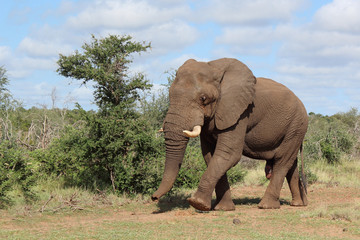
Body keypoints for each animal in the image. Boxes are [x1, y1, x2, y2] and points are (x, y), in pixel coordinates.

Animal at [150, 57, 308, 210]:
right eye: (170, 95)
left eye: (203, 98)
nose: (154, 198)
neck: (215, 68)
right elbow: (210, 155)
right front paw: (223, 208)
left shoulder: (239, 113)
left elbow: (229, 154)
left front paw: (197, 204)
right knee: (291, 163)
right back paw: (298, 204)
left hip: (296, 126)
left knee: (282, 161)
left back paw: (267, 206)